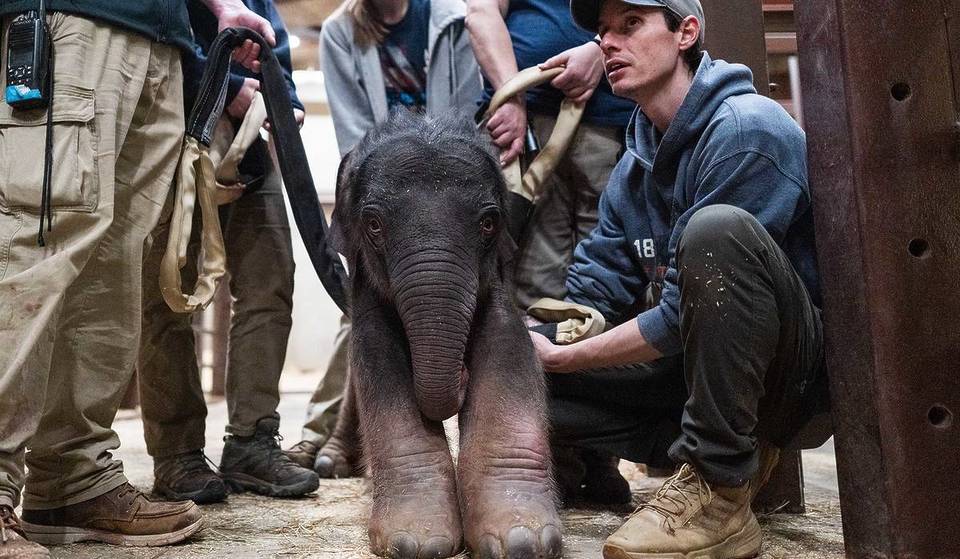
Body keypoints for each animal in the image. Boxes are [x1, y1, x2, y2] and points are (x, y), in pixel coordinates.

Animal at [322, 110, 562, 559]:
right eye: (374, 224)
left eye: (488, 223)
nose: (461, 375)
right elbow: (378, 360)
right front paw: (417, 542)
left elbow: (508, 348)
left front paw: (524, 539)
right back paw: (331, 463)